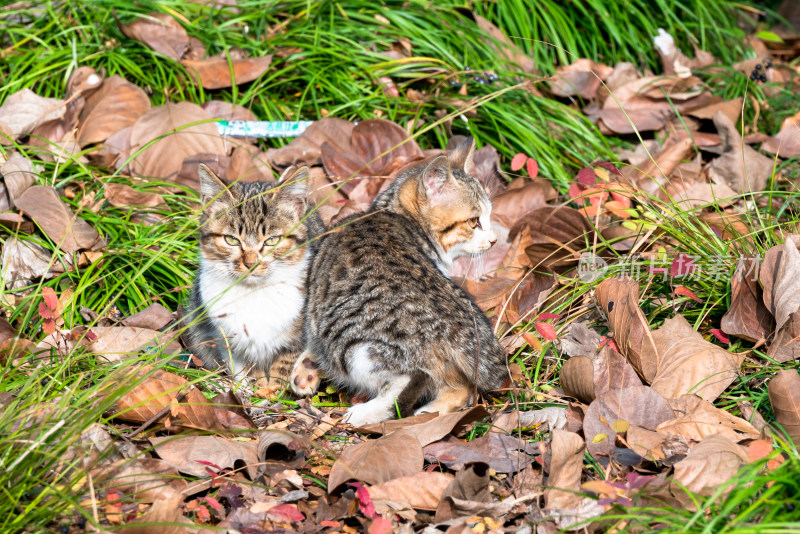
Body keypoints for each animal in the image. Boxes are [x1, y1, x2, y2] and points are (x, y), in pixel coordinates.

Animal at [186, 165, 324, 392]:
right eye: (231, 240)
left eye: (272, 240)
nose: (251, 263)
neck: (254, 292)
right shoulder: (225, 336)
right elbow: (247, 365)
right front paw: (256, 387)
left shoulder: (298, 337)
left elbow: (284, 363)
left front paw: (274, 389)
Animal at [290, 138, 510, 428]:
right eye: (474, 222)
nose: (494, 240)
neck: (391, 211)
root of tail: (459, 332)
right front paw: (305, 369)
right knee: (458, 389)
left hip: (353, 347)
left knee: (414, 379)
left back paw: (366, 413)